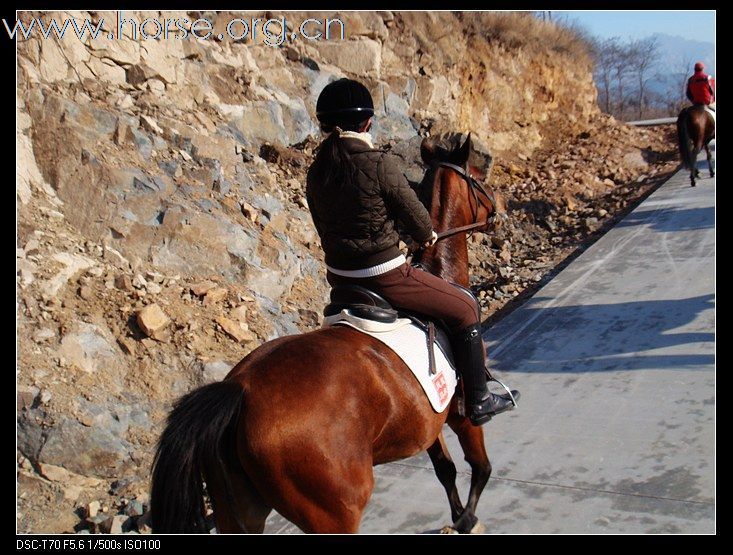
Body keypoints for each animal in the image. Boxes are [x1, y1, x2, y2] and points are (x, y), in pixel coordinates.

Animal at [149, 134, 504, 536]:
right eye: (479, 178)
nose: (500, 209)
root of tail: (239, 391)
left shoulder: (430, 420)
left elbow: (445, 469)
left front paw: (460, 516)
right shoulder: (460, 415)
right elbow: (480, 467)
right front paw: (468, 519)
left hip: (239, 511)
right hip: (333, 512)